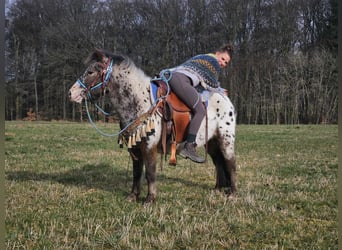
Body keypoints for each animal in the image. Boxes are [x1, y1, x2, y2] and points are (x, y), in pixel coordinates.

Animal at [68, 48, 236, 203]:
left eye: (90, 71)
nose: (71, 93)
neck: (140, 101)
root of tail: (226, 99)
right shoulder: (134, 147)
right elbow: (137, 173)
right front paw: (133, 196)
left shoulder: (149, 146)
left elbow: (150, 172)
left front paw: (150, 199)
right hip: (212, 142)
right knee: (218, 162)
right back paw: (218, 189)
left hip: (226, 139)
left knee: (230, 163)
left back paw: (232, 193)